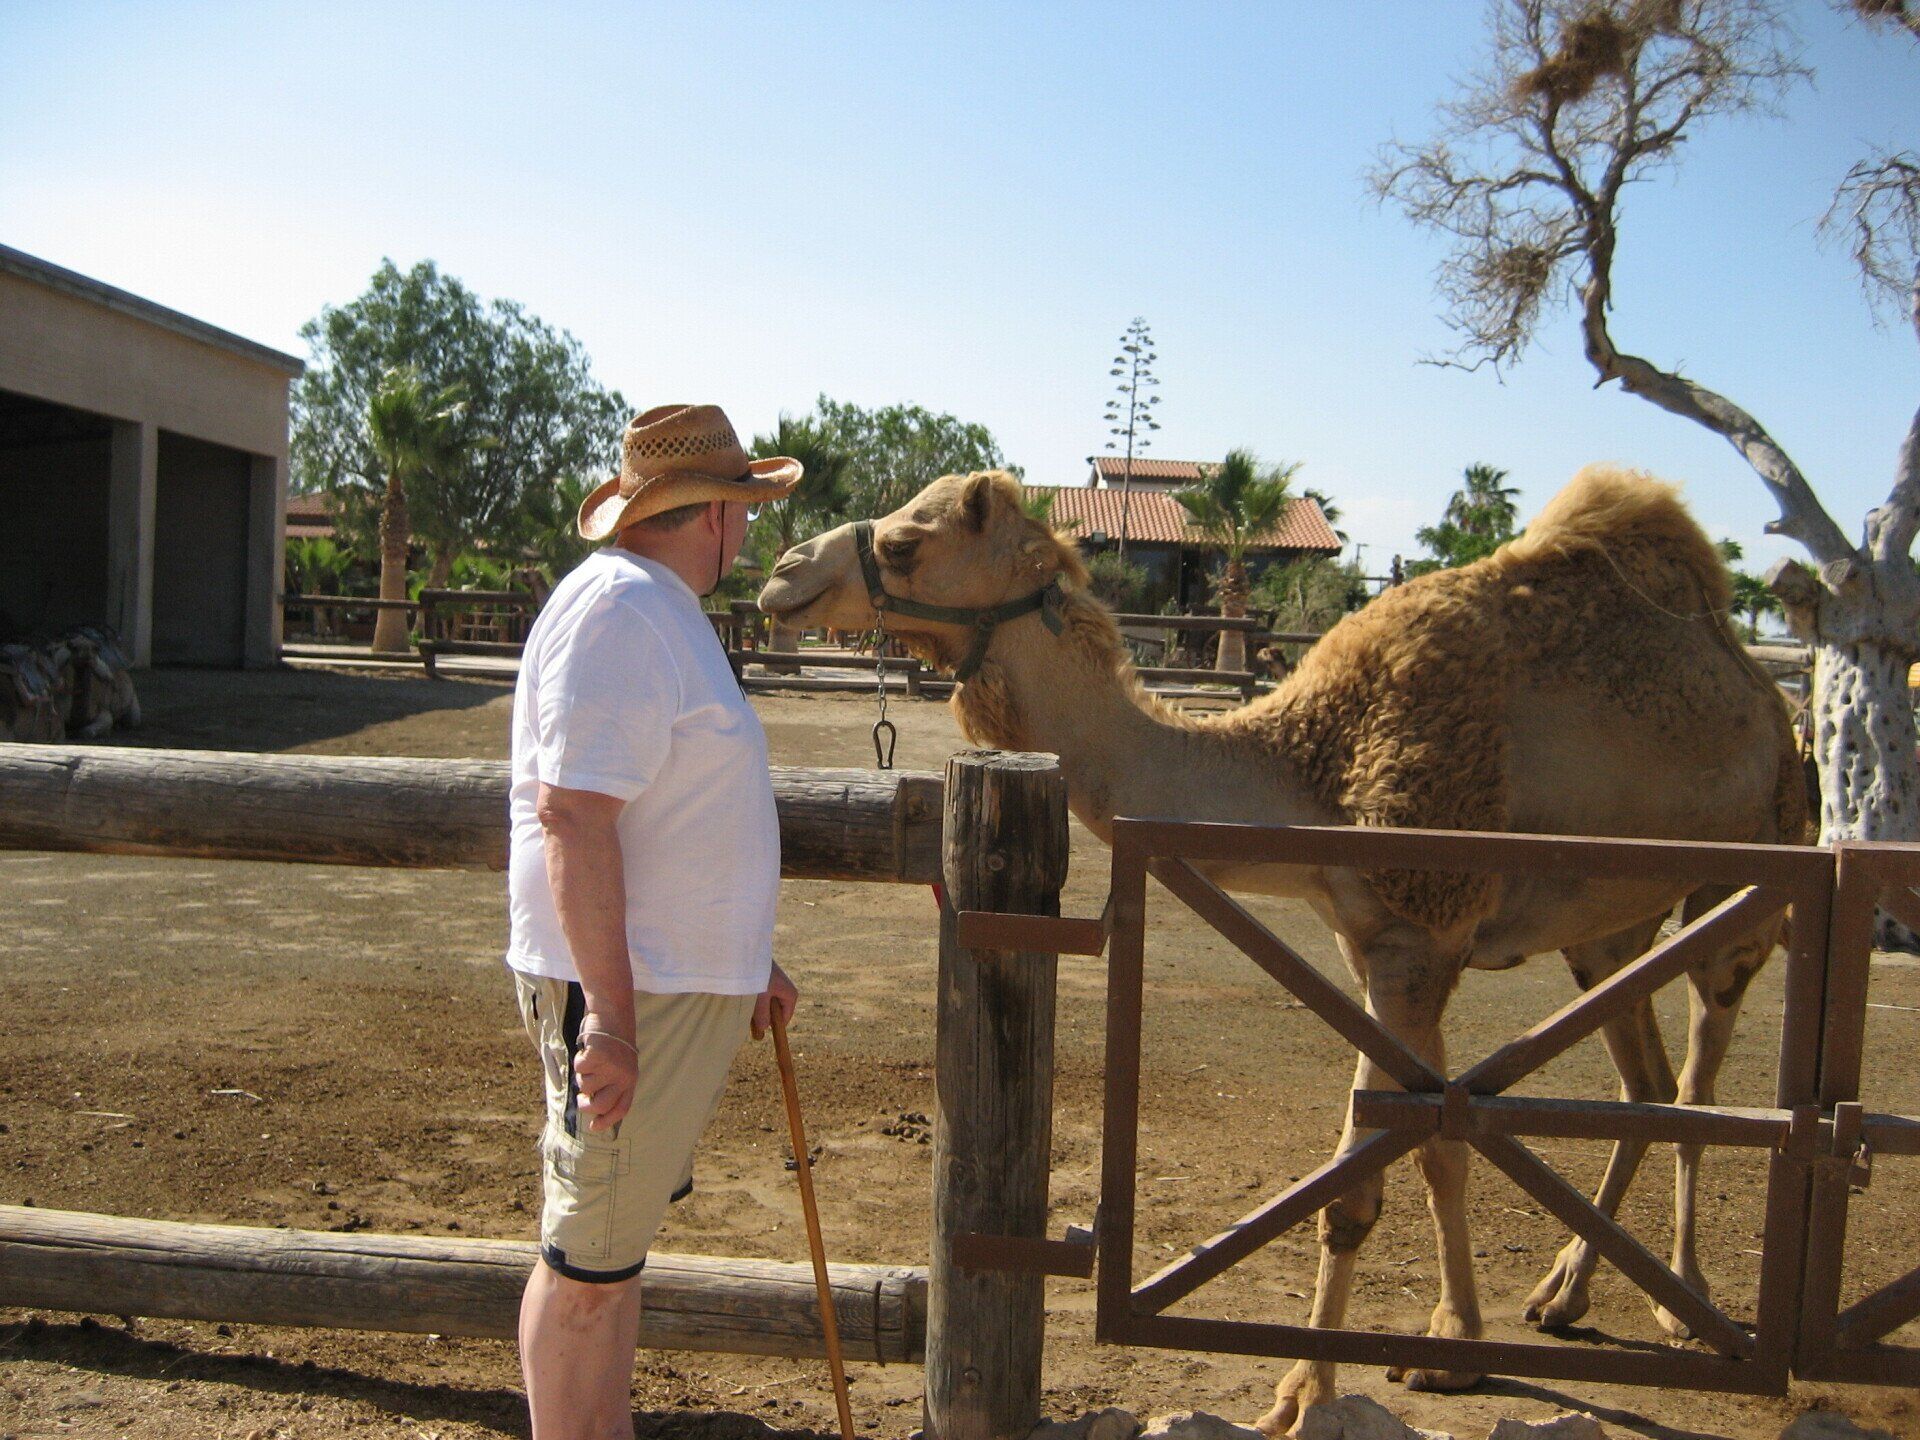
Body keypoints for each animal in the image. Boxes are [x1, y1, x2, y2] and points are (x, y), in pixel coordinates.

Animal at [758, 464, 1805, 1434]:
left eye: (907, 543)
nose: (780, 575)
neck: (1316, 766)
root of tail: (1765, 692)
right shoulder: (1379, 947)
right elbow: (1441, 1145)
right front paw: (1452, 1342)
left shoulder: (1418, 937)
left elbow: (1363, 1182)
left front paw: (1306, 1392)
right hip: (1611, 932)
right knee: (1644, 1084)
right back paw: (1565, 1293)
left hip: (1753, 879)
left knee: (1702, 1081)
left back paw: (1689, 1310)